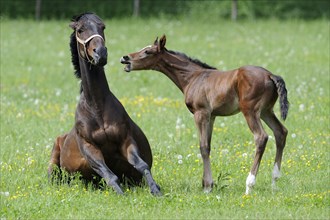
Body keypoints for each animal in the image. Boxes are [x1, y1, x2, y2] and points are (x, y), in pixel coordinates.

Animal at [48, 13, 161, 196]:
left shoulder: (126, 140)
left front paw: (156, 190)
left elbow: (141, 164)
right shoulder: (90, 148)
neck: (97, 107)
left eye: (102, 27)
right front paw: (122, 195)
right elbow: (110, 175)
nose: (100, 53)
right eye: (80, 30)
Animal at [121, 34, 288, 194]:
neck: (192, 77)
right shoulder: (211, 116)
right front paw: (207, 184)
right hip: (266, 111)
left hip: (250, 111)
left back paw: (249, 185)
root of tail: (270, 75)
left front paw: (207, 186)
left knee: (261, 137)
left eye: (147, 52)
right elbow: (208, 145)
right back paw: (274, 182)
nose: (125, 58)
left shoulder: (200, 113)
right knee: (281, 132)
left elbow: (203, 146)